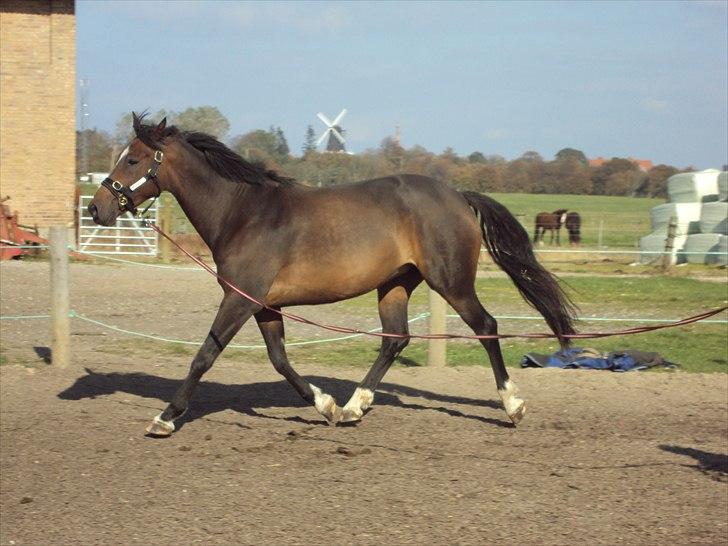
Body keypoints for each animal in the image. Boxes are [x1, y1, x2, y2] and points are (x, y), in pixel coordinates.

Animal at [86, 112, 576, 436]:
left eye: (133, 160)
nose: (96, 208)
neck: (243, 213)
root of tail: (456, 194)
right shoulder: (264, 305)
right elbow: (280, 360)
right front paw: (325, 406)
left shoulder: (240, 298)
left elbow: (204, 355)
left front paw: (165, 417)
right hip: (395, 284)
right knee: (395, 340)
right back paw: (355, 407)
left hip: (451, 282)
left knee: (487, 327)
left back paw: (513, 405)